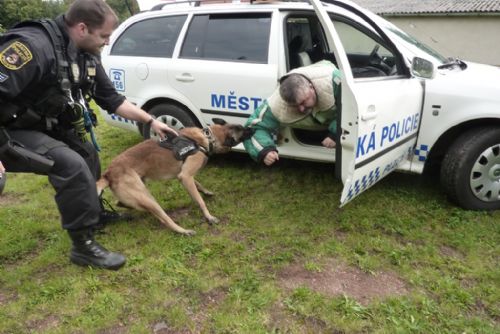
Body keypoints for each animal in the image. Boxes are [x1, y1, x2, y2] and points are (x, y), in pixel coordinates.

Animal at [95, 119, 250, 235]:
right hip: (148, 198)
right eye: (242, 130)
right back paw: (183, 231)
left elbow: (198, 185)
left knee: (120, 203)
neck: (207, 137)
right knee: (165, 220)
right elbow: (200, 201)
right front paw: (209, 217)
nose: (251, 128)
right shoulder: (186, 176)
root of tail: (108, 173)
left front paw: (206, 191)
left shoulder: (183, 176)